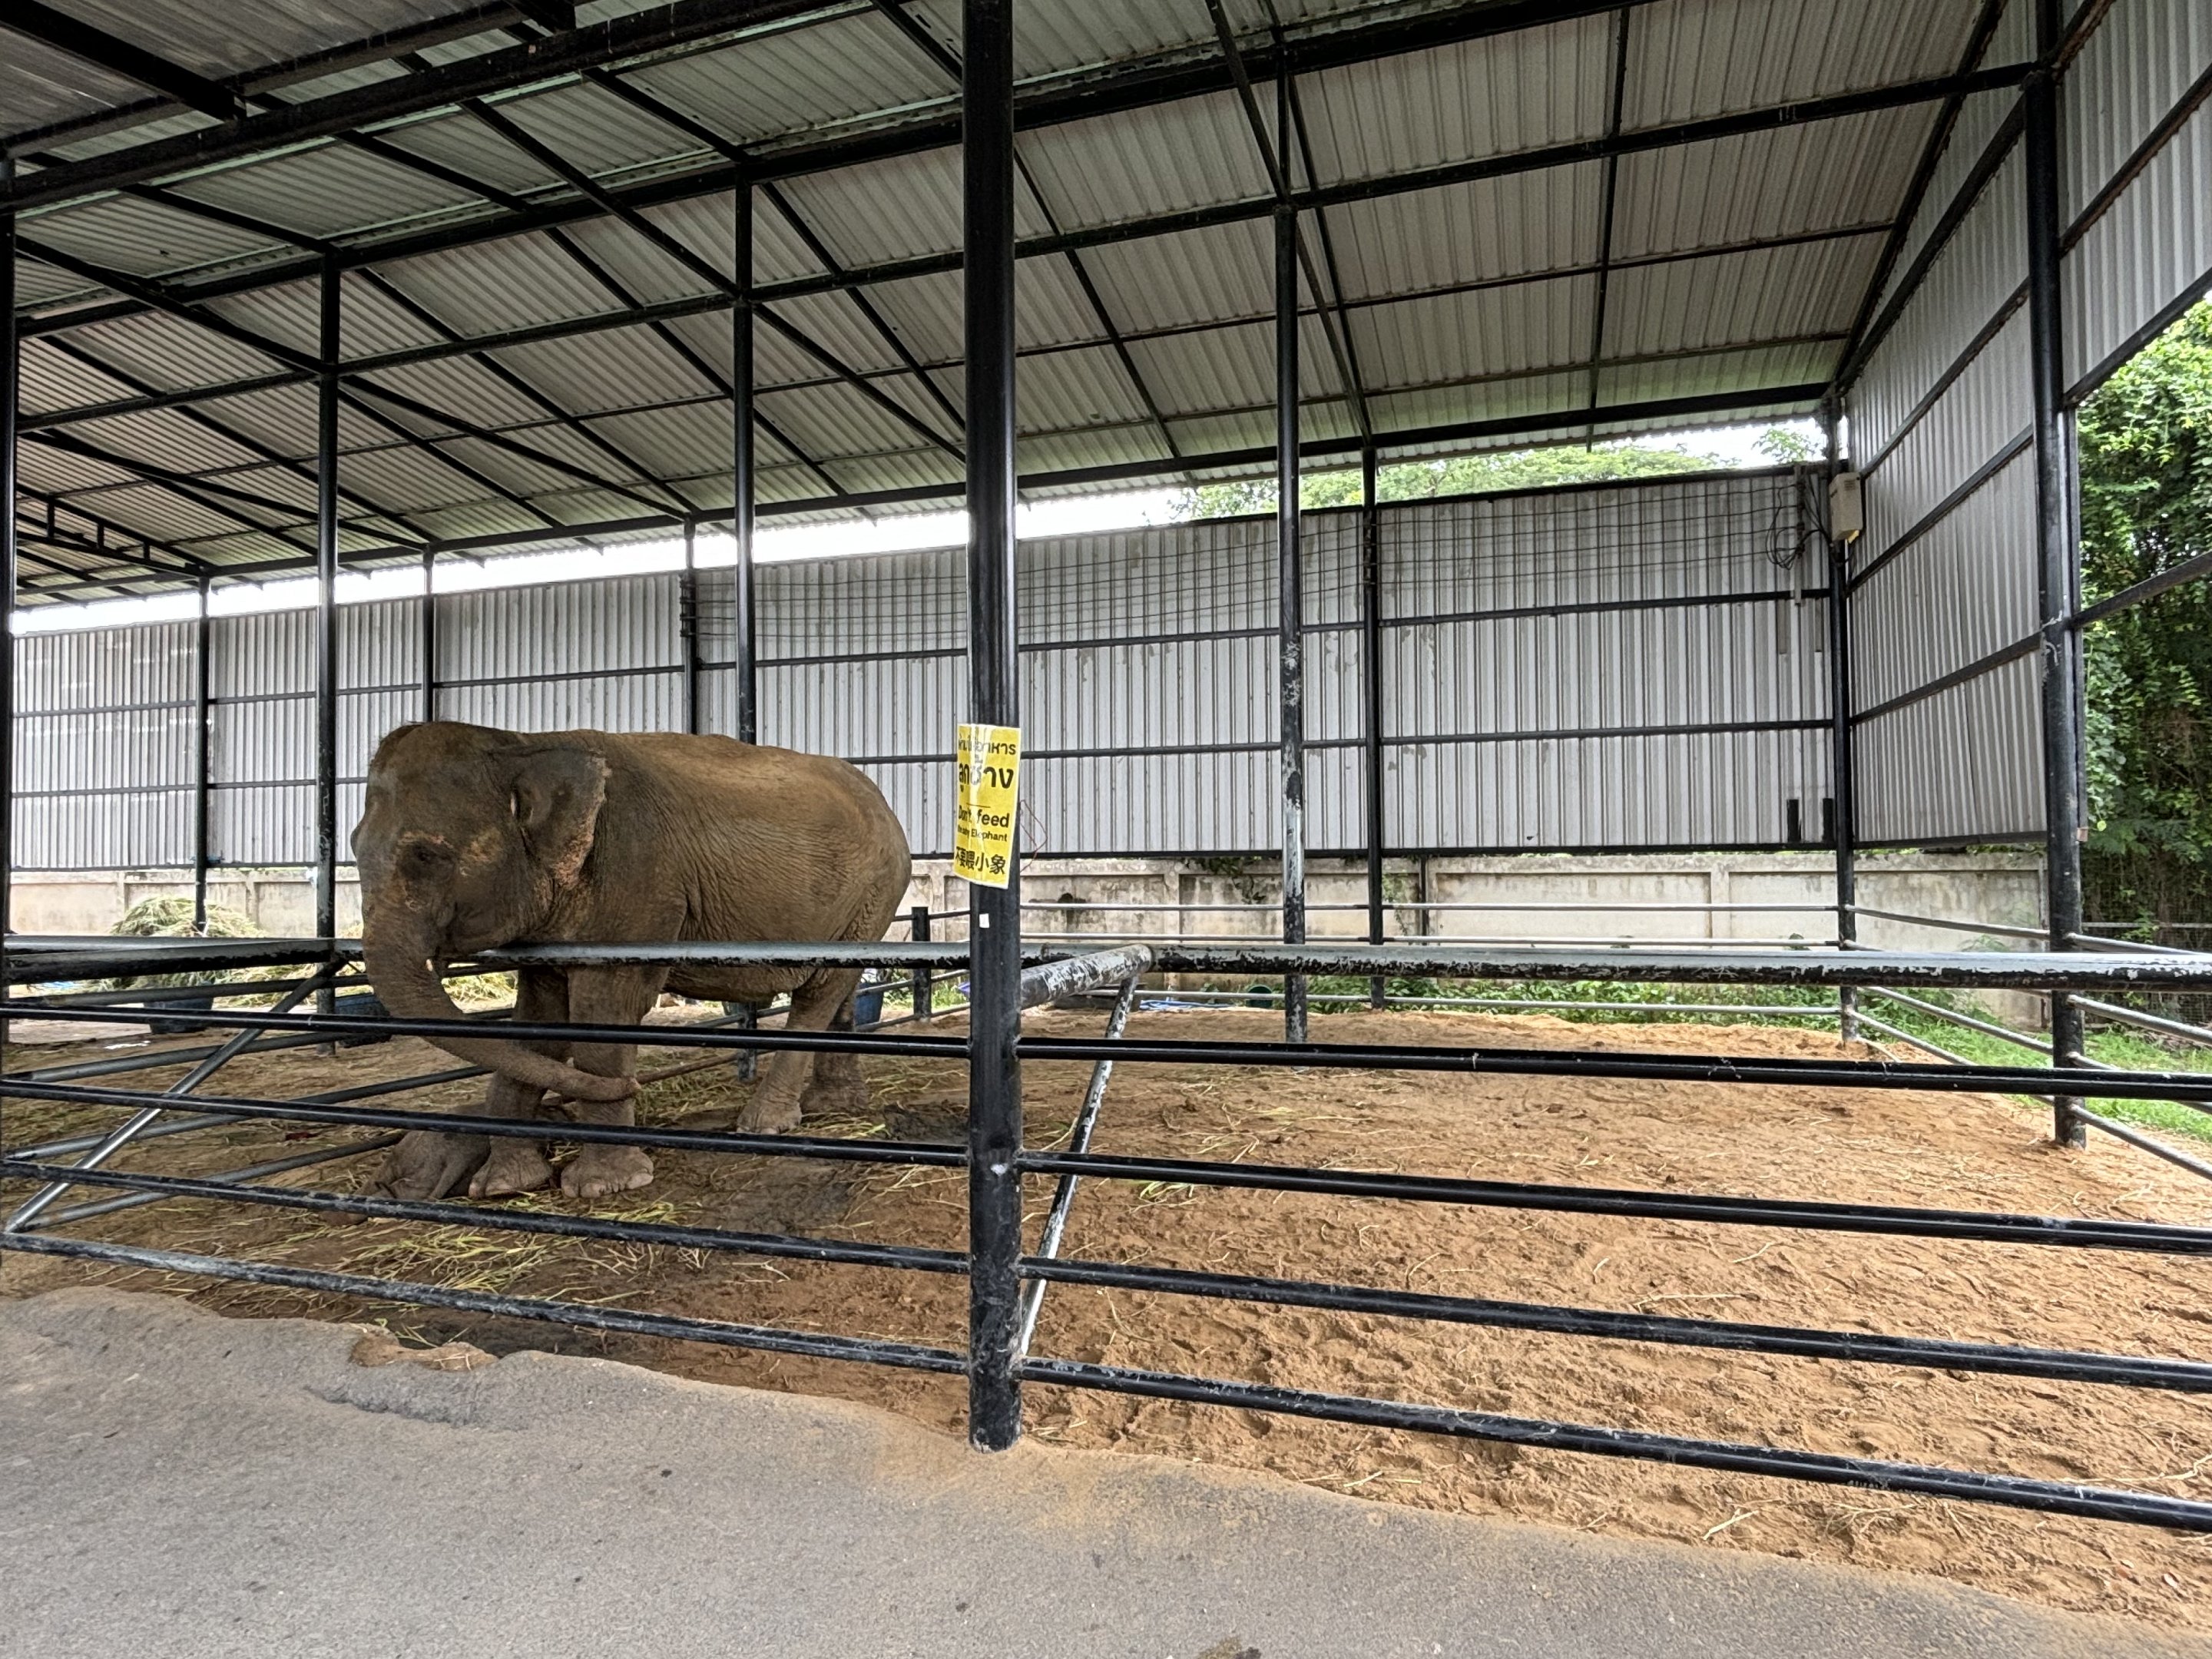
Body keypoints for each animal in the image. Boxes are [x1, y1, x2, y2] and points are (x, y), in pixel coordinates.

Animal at [352, 721, 912, 1202]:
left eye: (427, 856)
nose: (638, 1086)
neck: (524, 745)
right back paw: (833, 1106)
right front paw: (502, 1186)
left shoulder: (636, 881)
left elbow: (603, 1019)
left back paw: (765, 1125)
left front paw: (605, 1186)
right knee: (840, 991)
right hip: (862, 907)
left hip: (875, 890)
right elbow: (534, 1030)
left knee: (819, 993)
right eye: (354, 847)